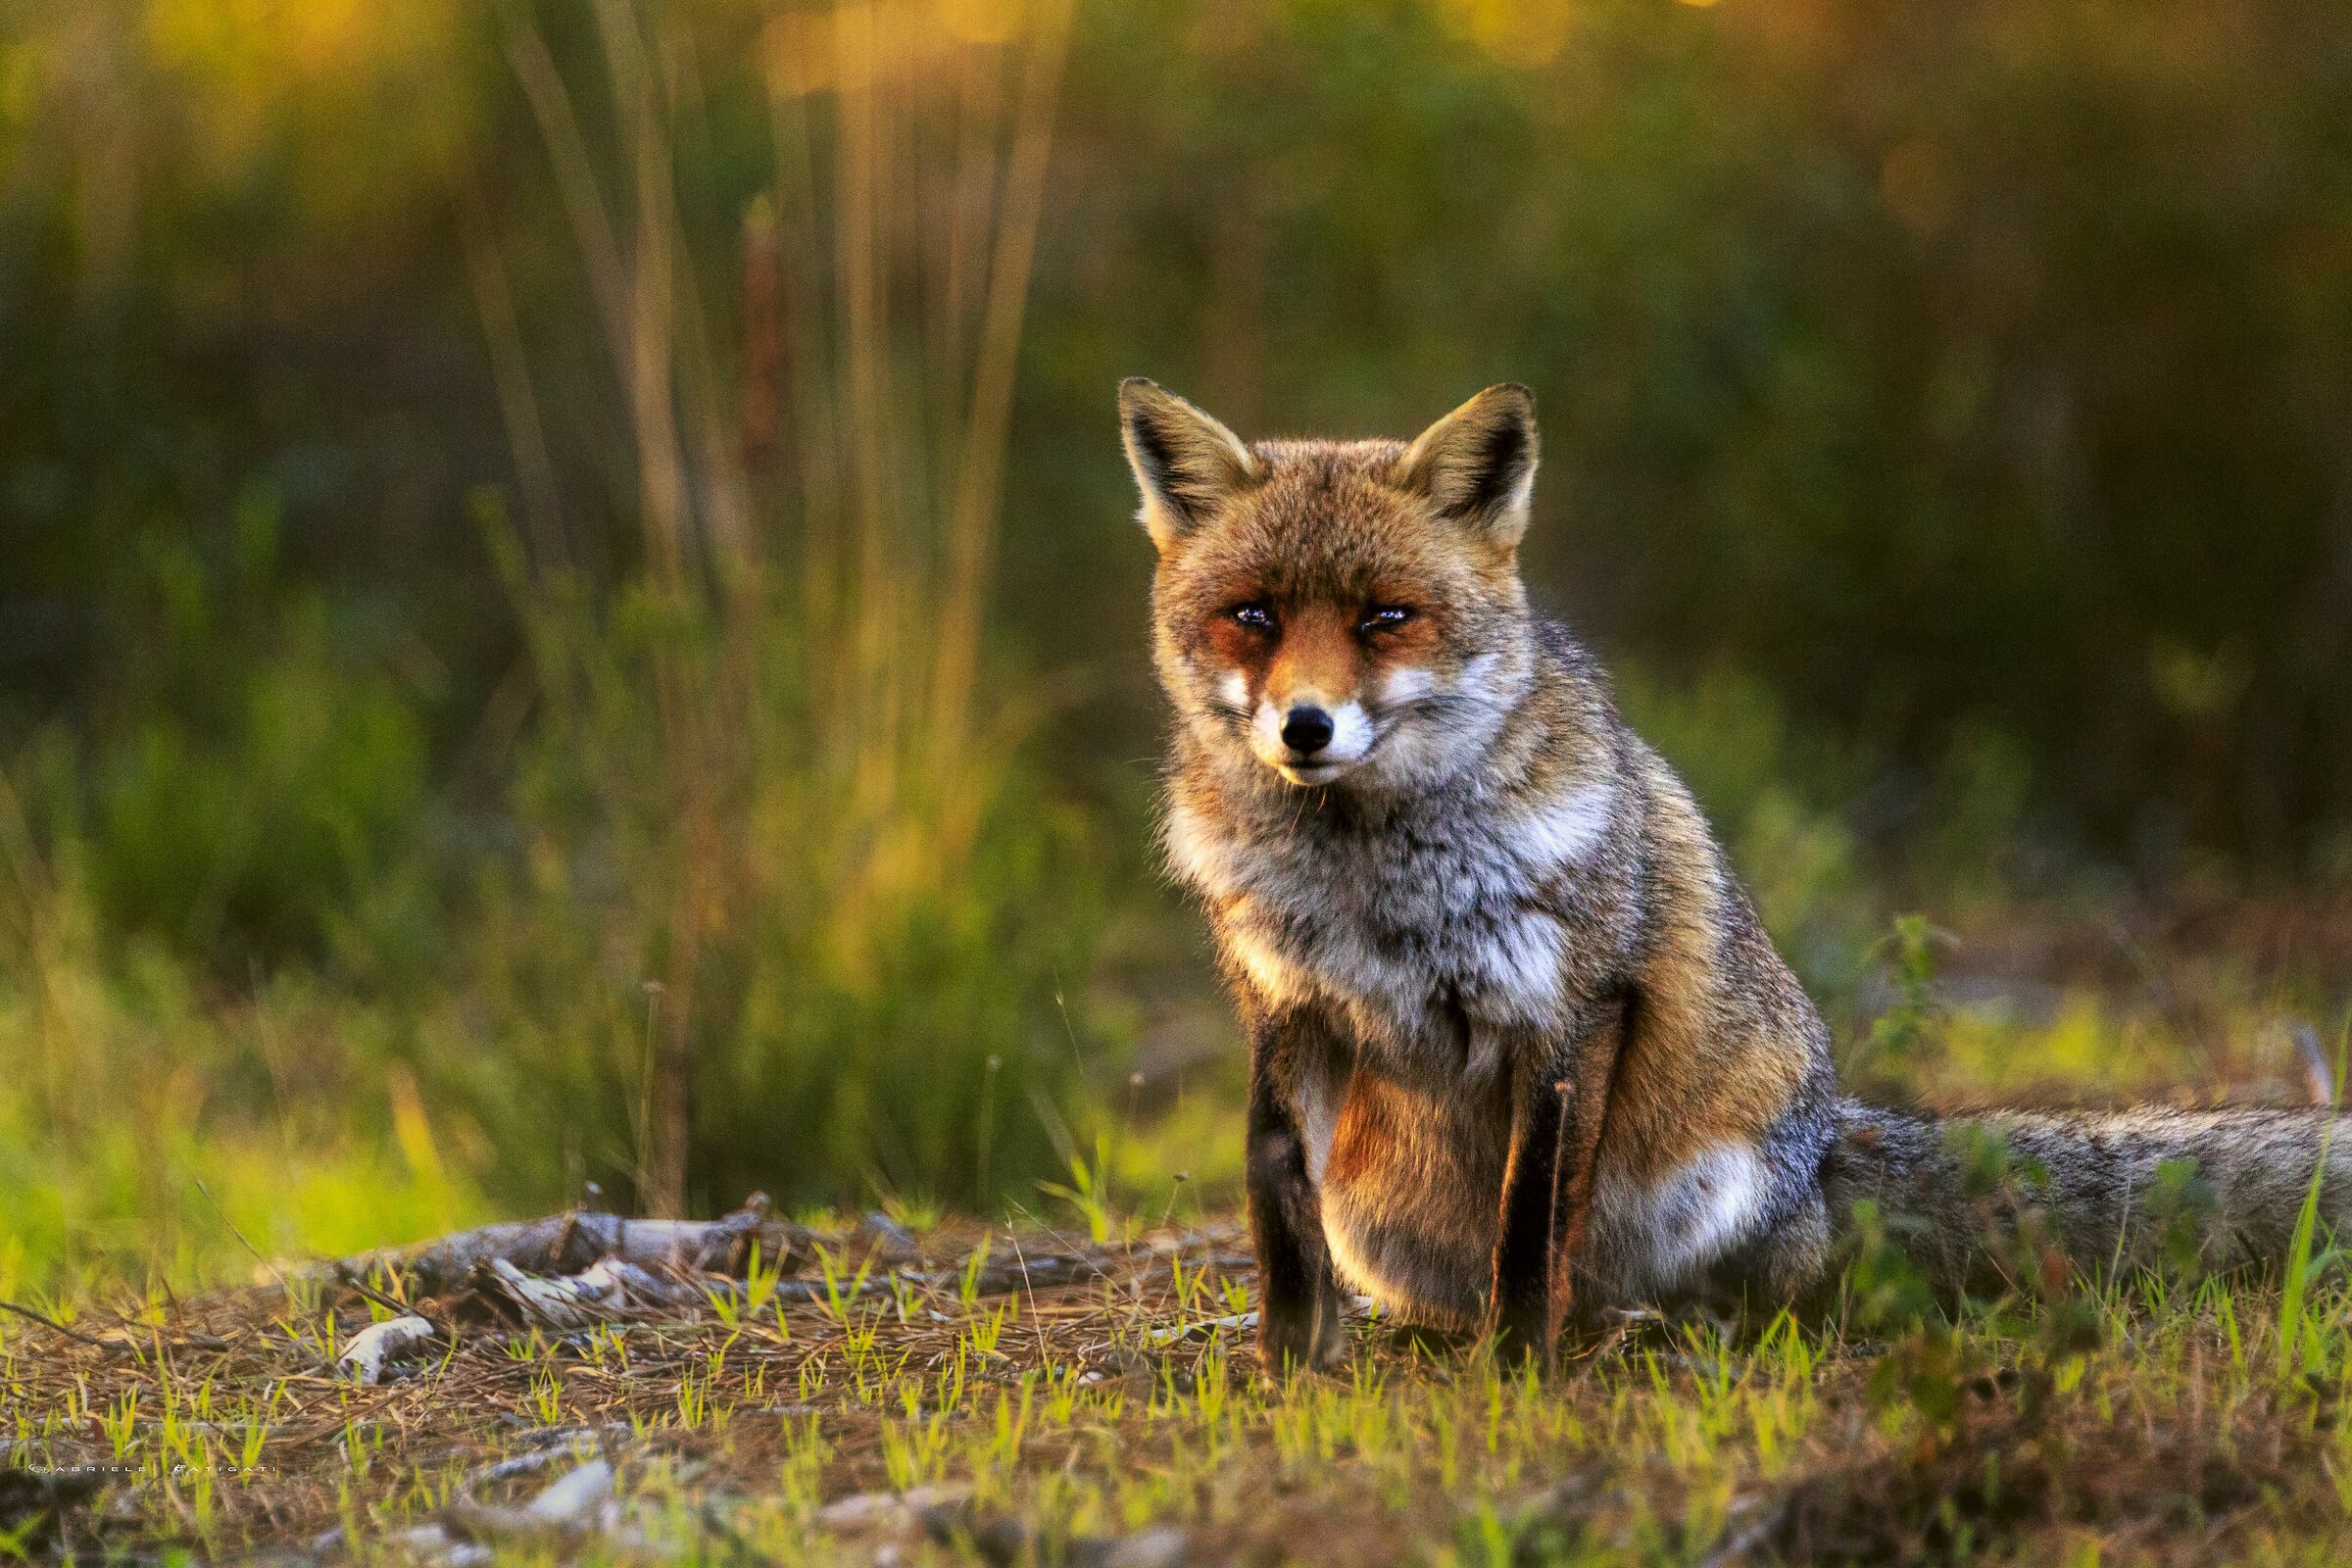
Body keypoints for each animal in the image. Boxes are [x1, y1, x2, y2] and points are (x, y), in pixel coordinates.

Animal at [1121, 376, 2352, 1376]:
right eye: (1253, 616)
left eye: (1386, 617)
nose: (1306, 727)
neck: (1371, 882)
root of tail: (1830, 1139)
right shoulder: (1292, 1011)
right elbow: (1276, 1204)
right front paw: (1288, 1369)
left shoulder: (1571, 1010)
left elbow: (1530, 1229)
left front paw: (1519, 1370)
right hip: (1380, 1224)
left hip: (1720, 1196)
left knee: (1737, 1290)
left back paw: (1653, 1329)